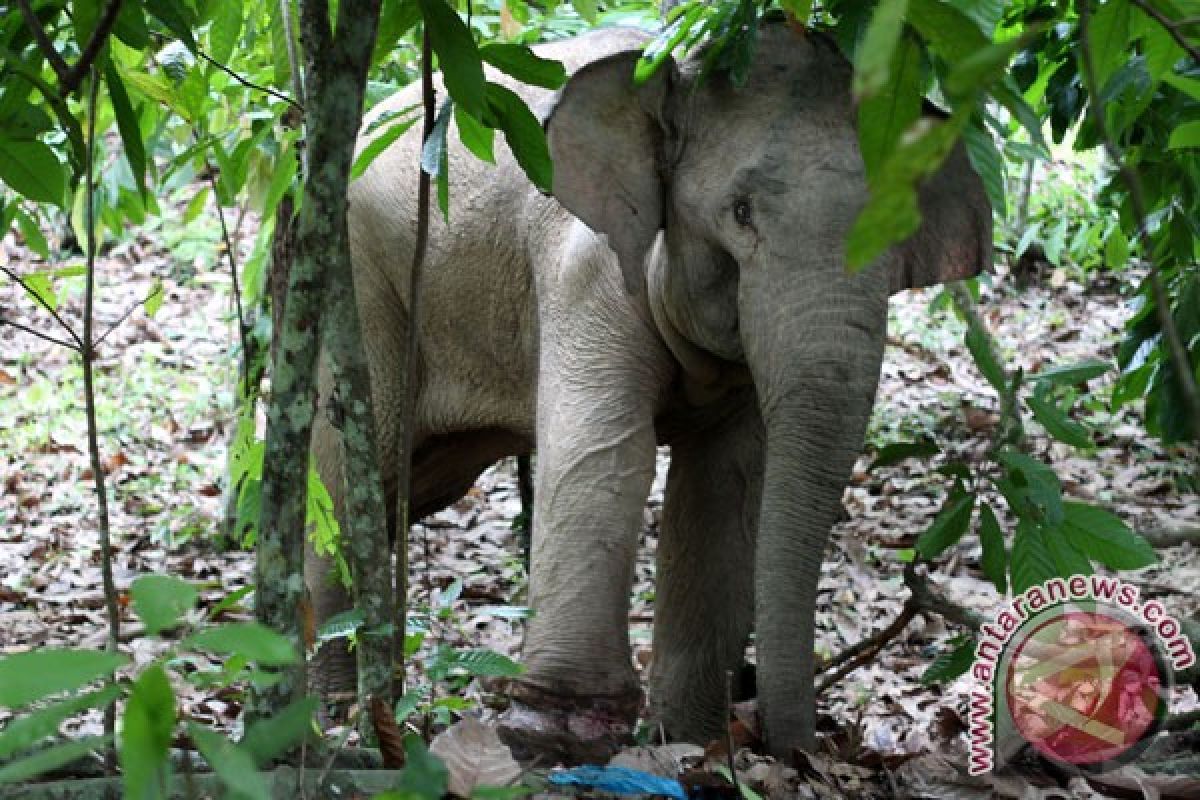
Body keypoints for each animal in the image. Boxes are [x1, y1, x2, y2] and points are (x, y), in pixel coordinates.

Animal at [312, 17, 993, 762]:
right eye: (740, 211)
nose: (799, 751)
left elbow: (727, 485)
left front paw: (691, 743)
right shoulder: (589, 272)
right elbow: (608, 452)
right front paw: (554, 737)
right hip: (357, 280)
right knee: (351, 472)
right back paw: (338, 708)